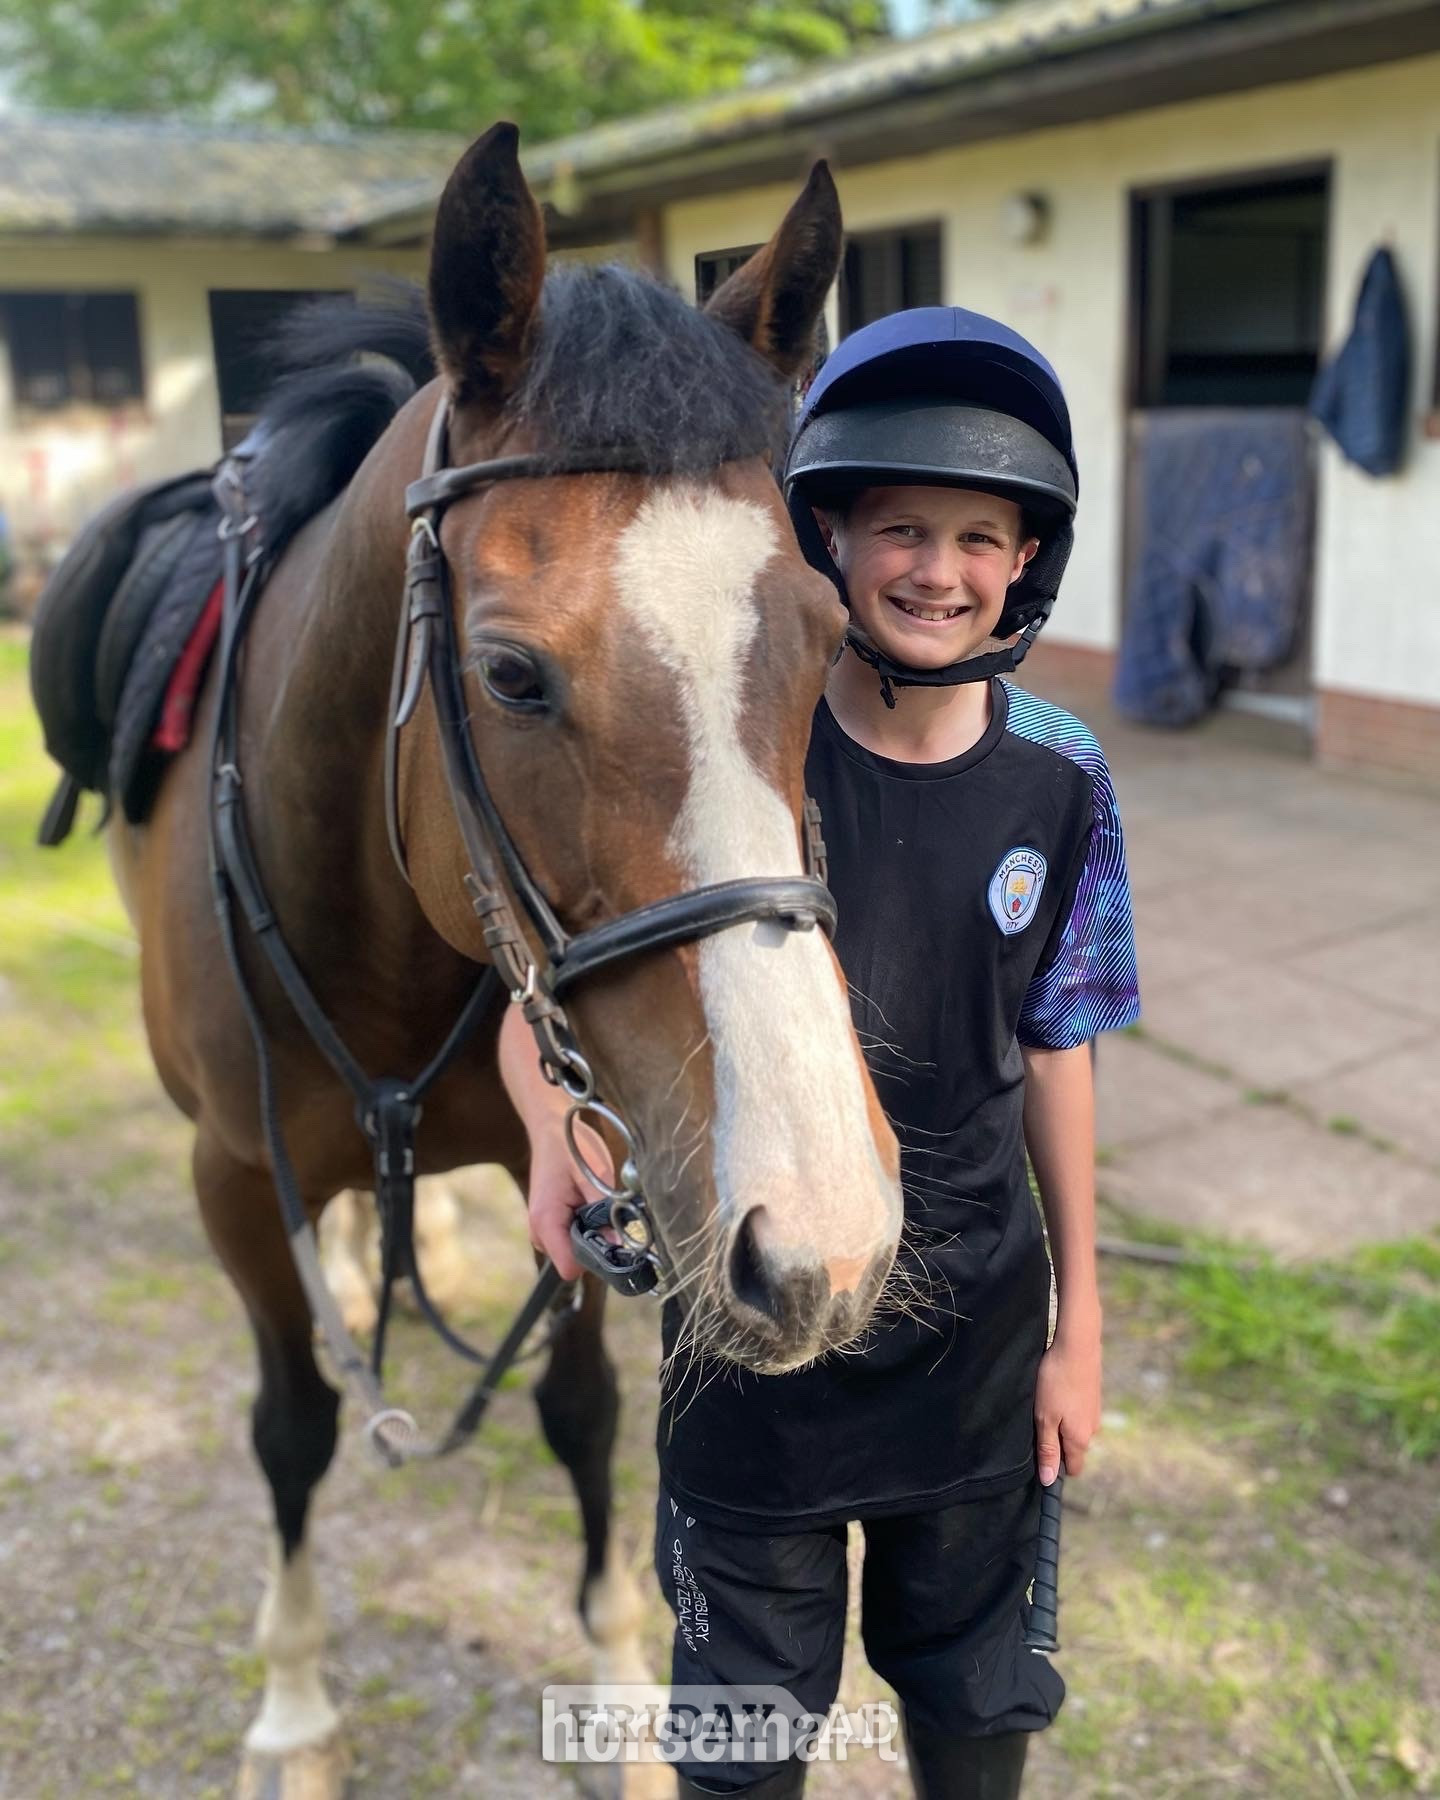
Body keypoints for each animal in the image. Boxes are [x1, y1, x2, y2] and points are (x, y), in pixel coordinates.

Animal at [100, 123, 903, 1793]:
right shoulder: (229, 1178)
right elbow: (290, 1426)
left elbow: (585, 1413)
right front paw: (294, 1715)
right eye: (512, 675)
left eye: (829, 641)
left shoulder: (602, 1159)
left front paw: (623, 1705)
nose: (830, 1243)